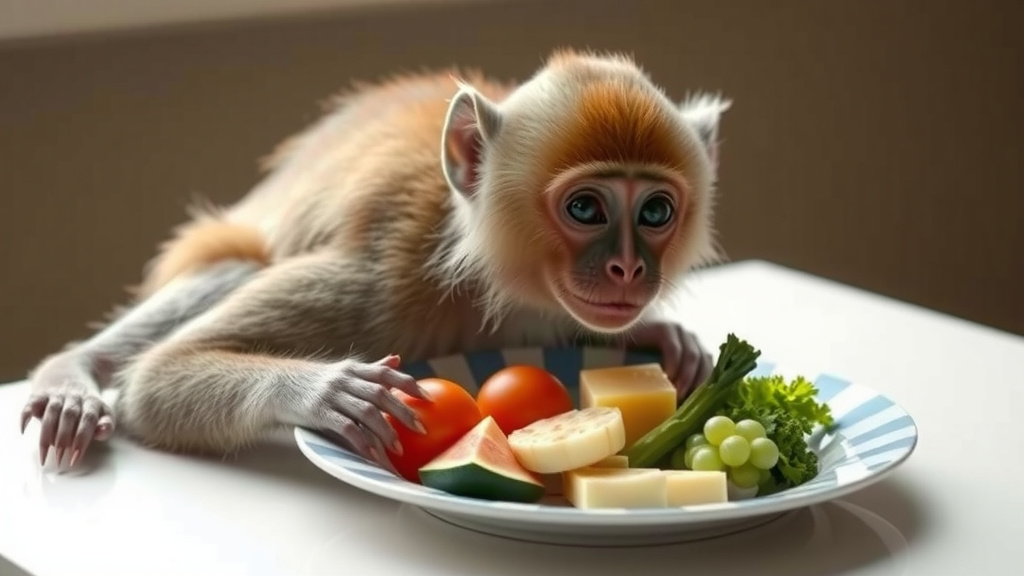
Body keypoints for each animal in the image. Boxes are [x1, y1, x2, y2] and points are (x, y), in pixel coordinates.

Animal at [19, 49, 731, 473]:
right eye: (586, 209)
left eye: (655, 213)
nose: (628, 270)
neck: (490, 280)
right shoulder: (385, 276)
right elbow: (157, 379)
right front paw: (325, 391)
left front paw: (664, 336)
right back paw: (70, 373)